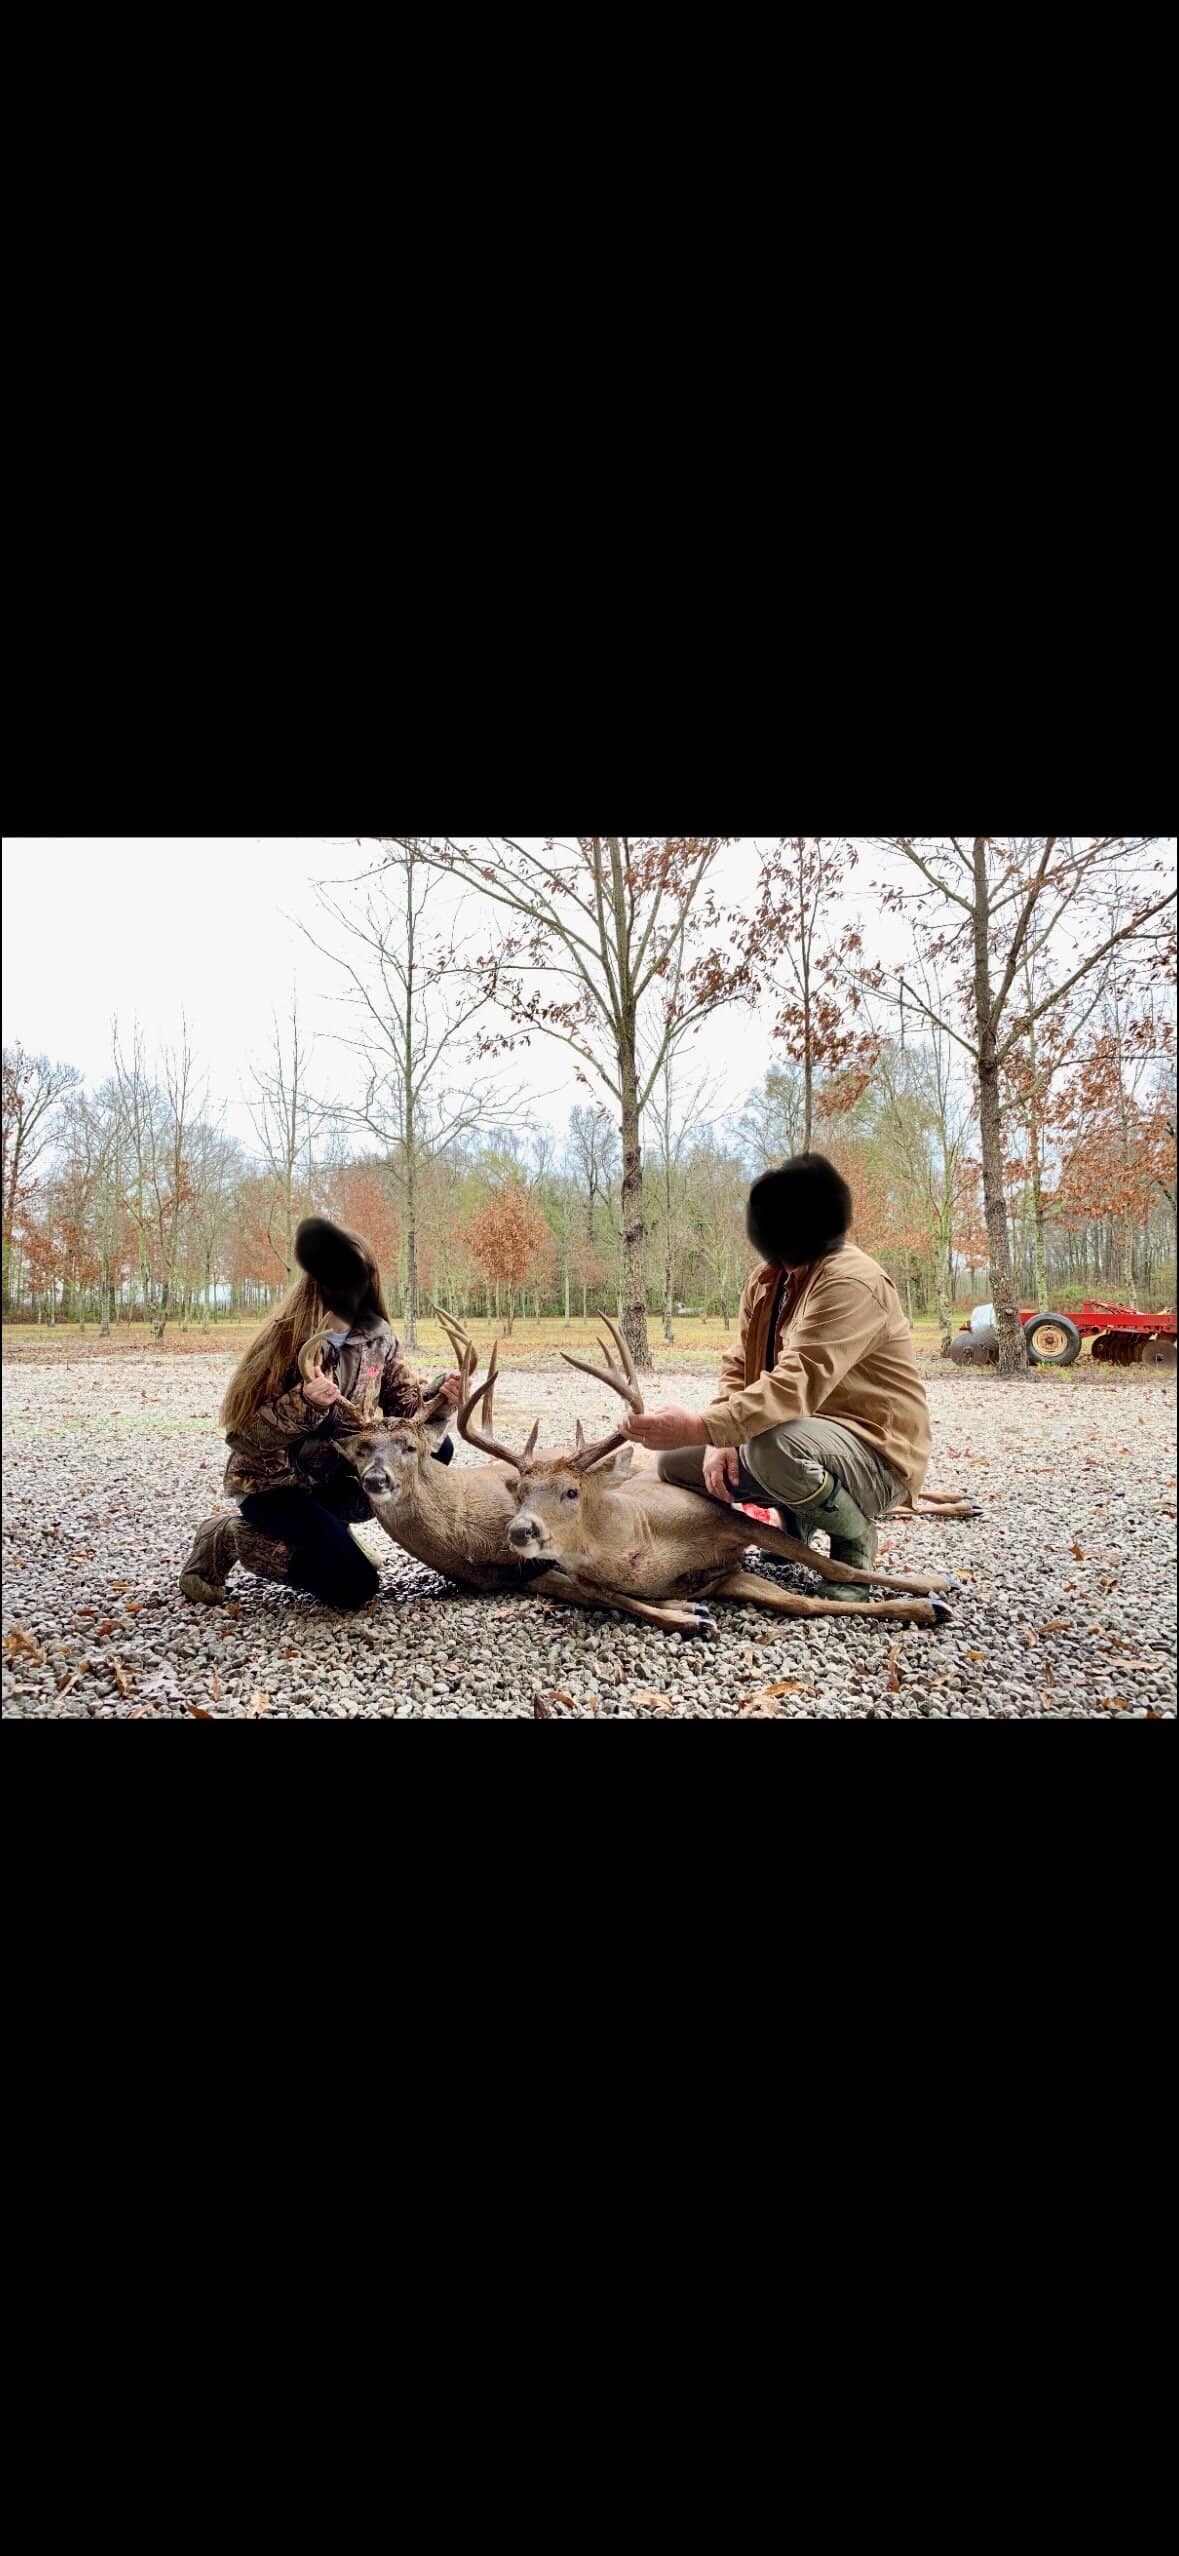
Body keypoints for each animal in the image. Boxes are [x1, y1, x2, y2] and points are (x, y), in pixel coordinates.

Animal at [456, 1316, 958, 1629]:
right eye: (521, 1492)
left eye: (571, 1492)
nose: (521, 1529)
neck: (644, 1541)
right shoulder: (724, 1578)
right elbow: (799, 1602)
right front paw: (691, 1615)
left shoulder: (722, 1514)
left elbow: (830, 1566)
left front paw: (933, 1588)